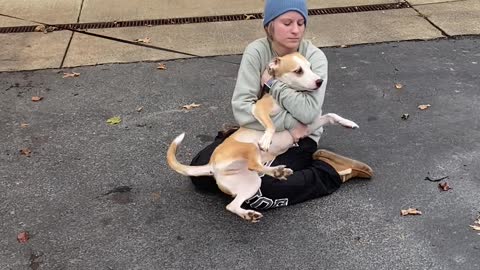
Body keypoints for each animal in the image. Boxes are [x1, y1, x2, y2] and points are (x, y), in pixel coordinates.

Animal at [167, 52, 358, 221]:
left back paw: (250, 211)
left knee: (233, 204)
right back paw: (277, 171)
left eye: (311, 67)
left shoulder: (303, 126)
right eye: (298, 71)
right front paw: (267, 139)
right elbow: (271, 125)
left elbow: (331, 116)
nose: (320, 81)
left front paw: (347, 123)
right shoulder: (259, 109)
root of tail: (212, 166)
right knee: (254, 164)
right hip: (249, 147)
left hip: (252, 183)